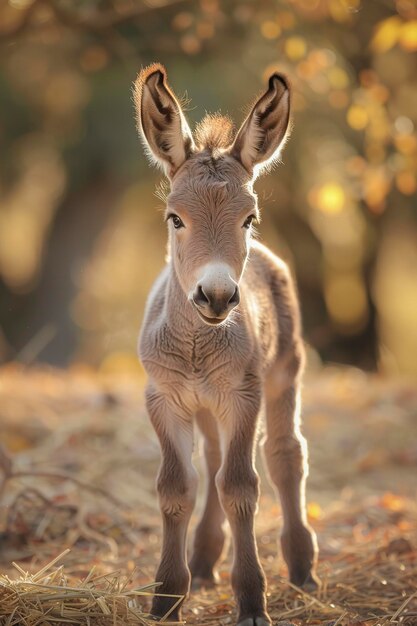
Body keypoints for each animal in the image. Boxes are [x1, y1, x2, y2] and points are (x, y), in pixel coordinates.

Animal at [135, 64, 316, 624]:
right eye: (175, 218)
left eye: (248, 219)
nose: (215, 295)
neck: (198, 343)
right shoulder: (165, 397)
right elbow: (176, 488)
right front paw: (167, 598)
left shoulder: (243, 394)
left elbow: (241, 487)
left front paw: (252, 601)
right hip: (207, 407)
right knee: (212, 463)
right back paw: (204, 560)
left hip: (283, 372)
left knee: (283, 455)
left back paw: (302, 568)